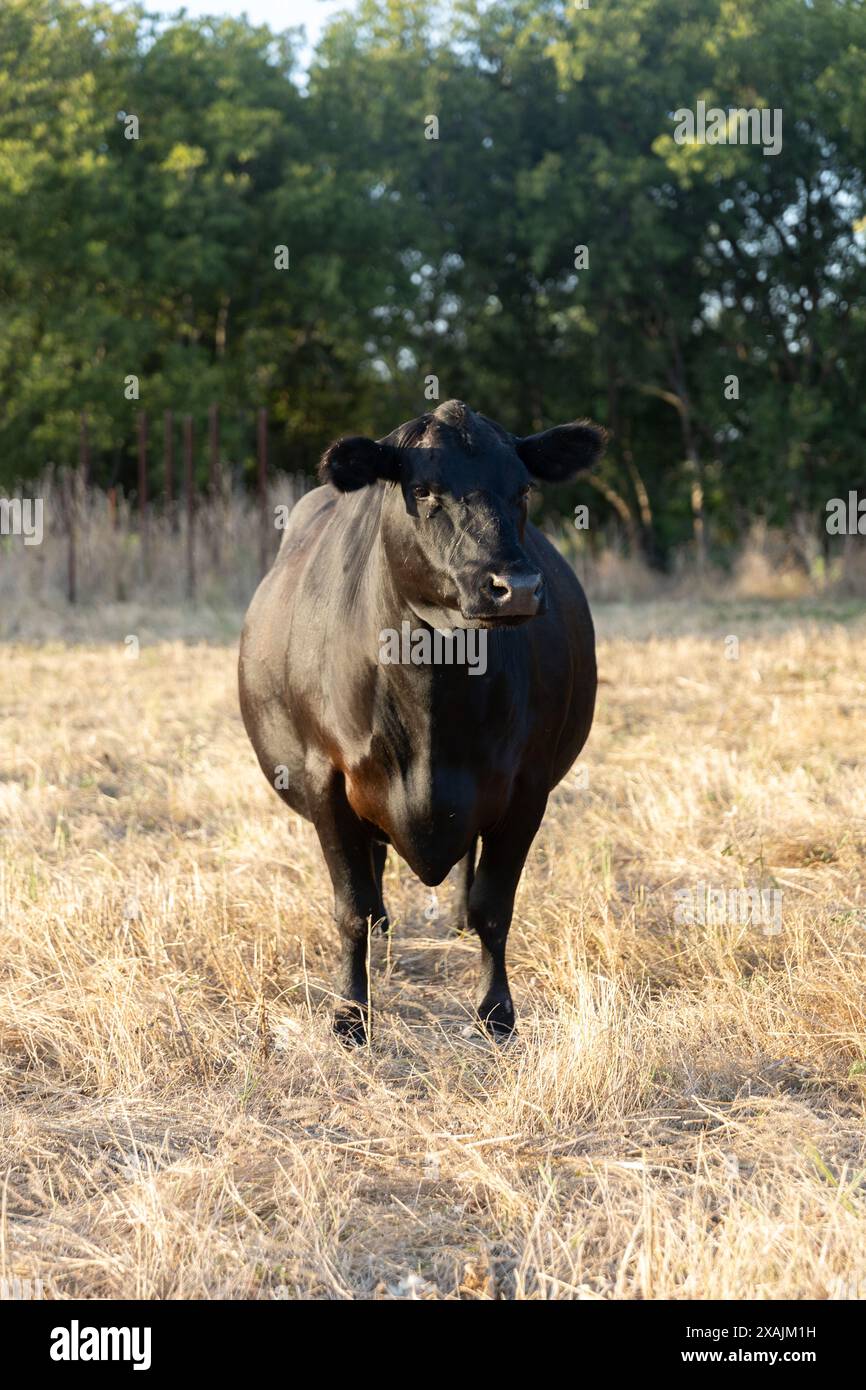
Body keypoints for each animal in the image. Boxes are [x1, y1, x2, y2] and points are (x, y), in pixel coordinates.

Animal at [237, 403, 603, 1045]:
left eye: (523, 489)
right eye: (425, 489)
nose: (515, 587)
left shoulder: (527, 787)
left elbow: (493, 905)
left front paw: (496, 1012)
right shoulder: (324, 777)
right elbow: (351, 906)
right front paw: (351, 1013)